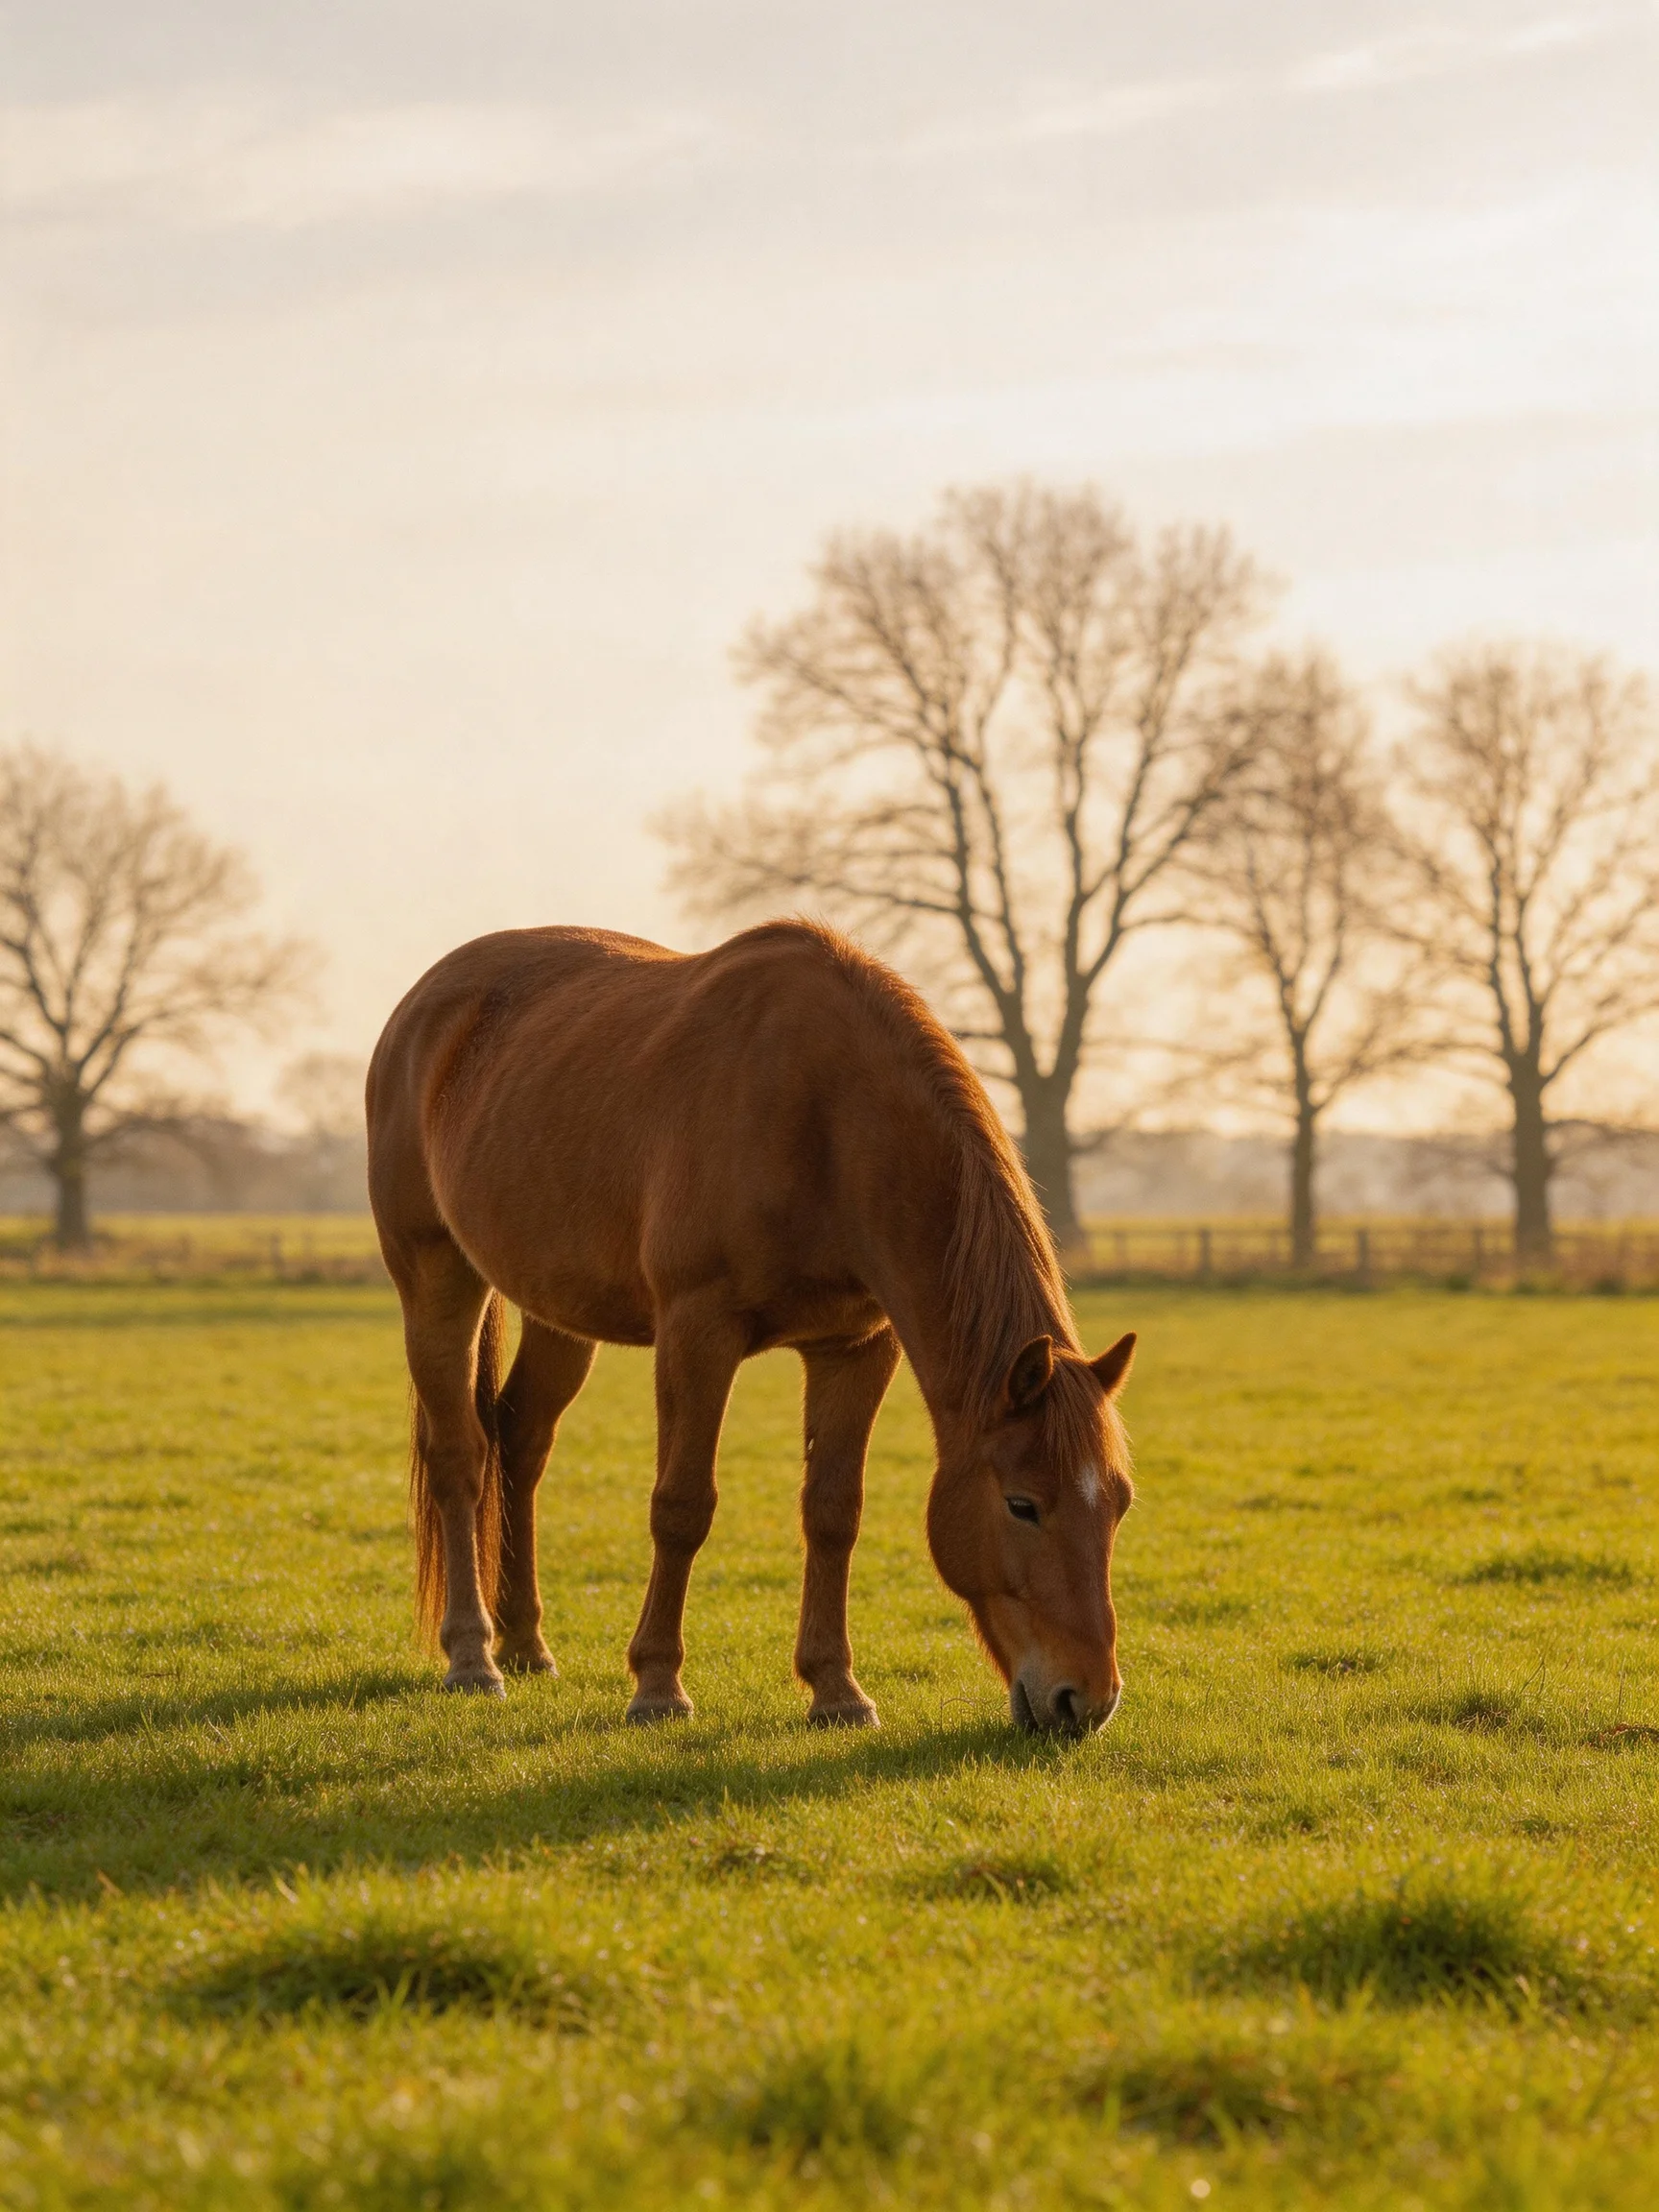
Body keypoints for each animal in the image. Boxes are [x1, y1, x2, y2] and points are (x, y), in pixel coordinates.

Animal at [365, 919, 1136, 1734]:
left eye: (1118, 1501)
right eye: (1023, 1504)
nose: (1086, 1699)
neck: (828, 1121)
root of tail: (424, 1005)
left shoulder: (855, 1347)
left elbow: (833, 1511)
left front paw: (836, 1689)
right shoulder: (698, 1332)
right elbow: (682, 1506)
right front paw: (658, 1685)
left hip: (560, 1311)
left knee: (520, 1440)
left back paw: (524, 1644)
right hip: (436, 1276)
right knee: (460, 1456)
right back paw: (473, 1658)